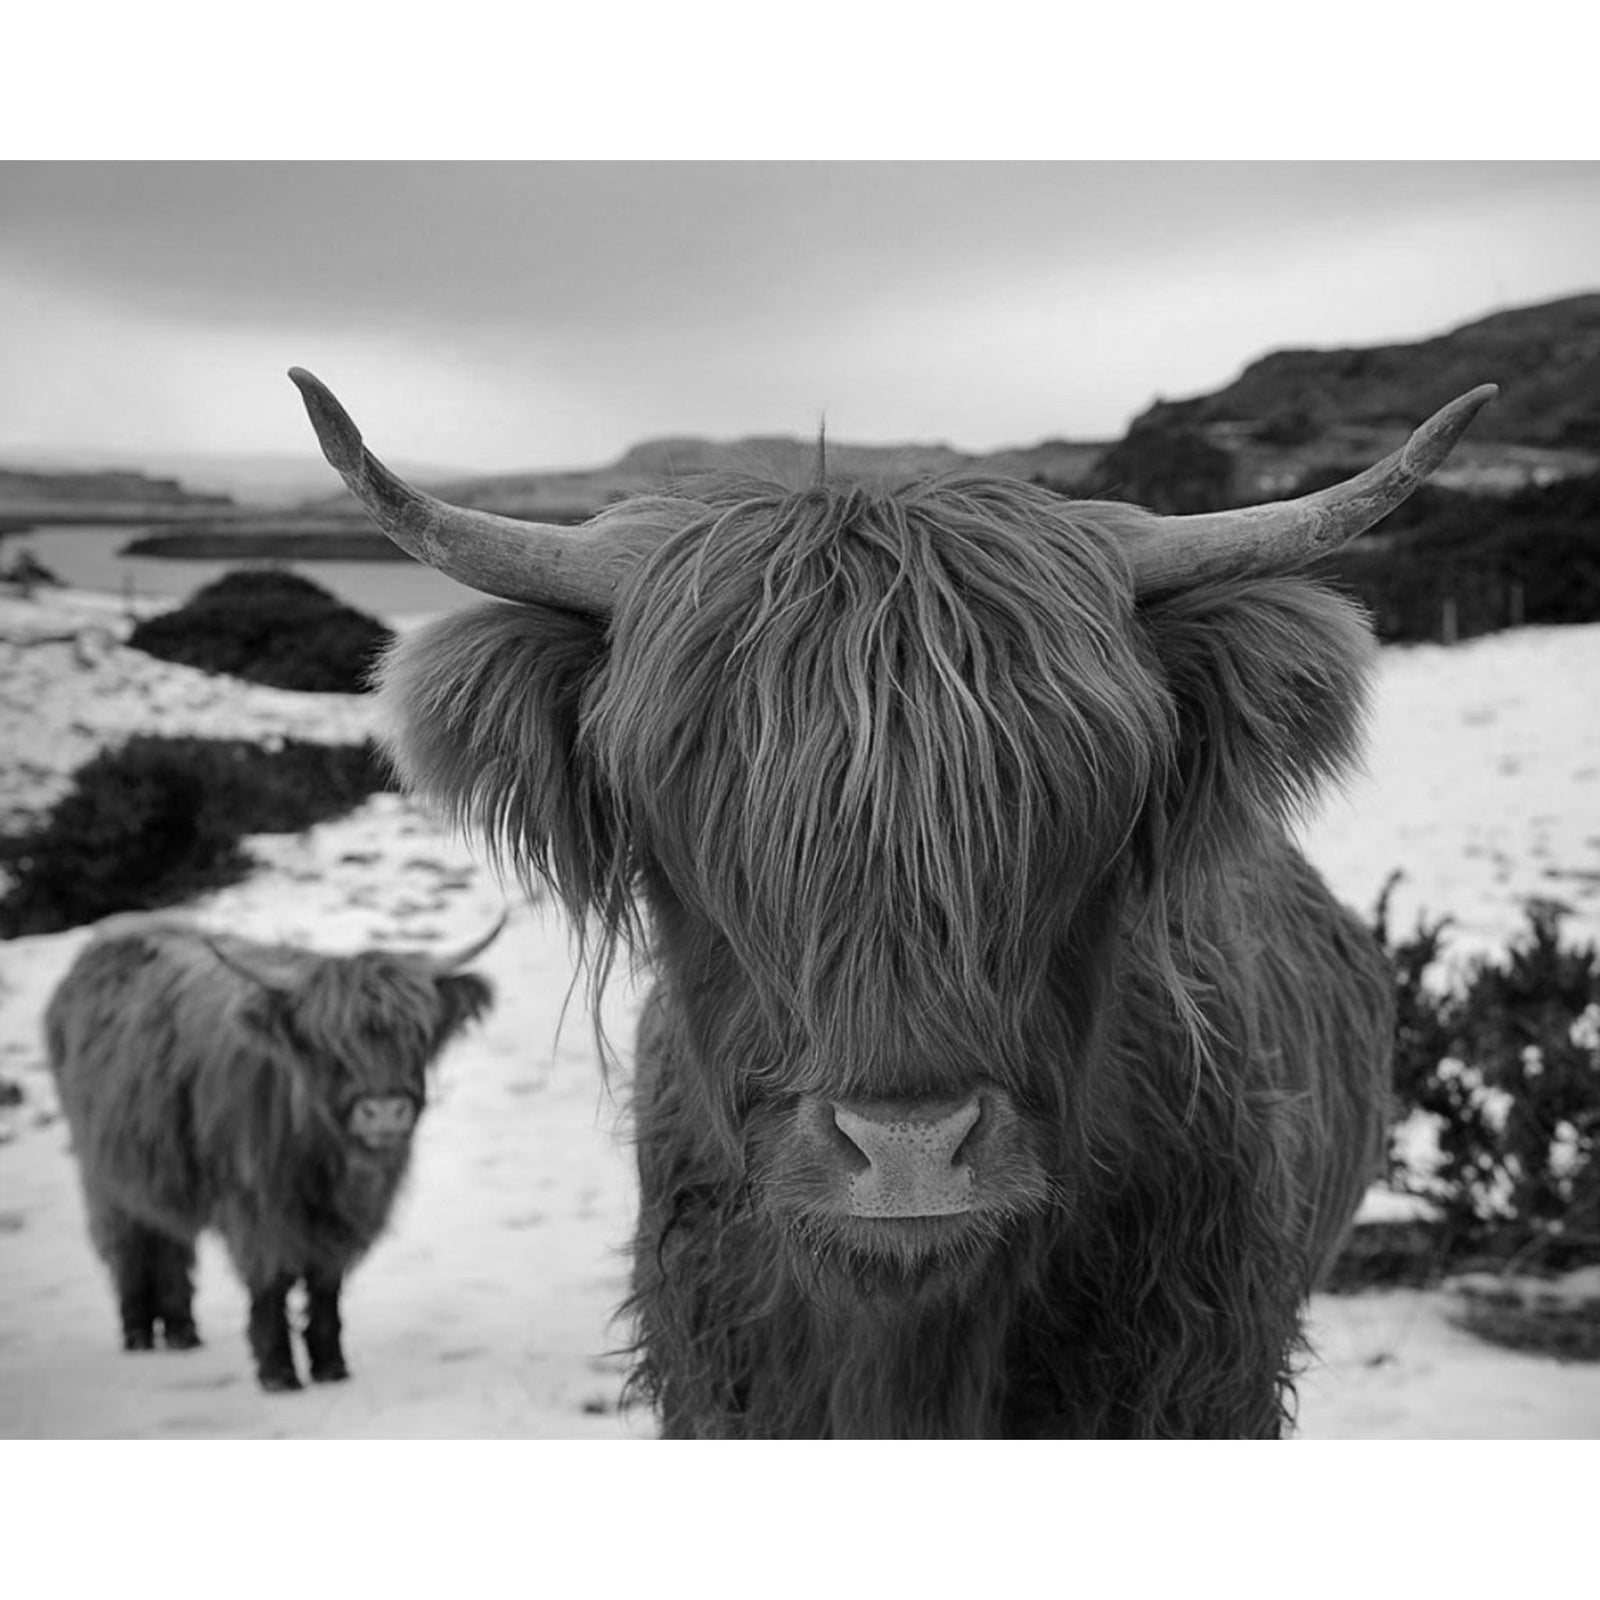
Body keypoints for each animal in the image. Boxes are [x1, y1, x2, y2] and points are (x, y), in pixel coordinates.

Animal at [45, 915, 499, 1388]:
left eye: (418, 1034)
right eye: (327, 1042)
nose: (385, 1112)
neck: (322, 1159)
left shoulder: (342, 1221)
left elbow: (325, 1288)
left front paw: (330, 1366)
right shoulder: (255, 1208)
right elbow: (270, 1284)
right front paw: (278, 1372)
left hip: (158, 1168)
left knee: (170, 1241)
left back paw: (182, 1331)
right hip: (104, 1174)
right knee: (128, 1245)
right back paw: (137, 1333)